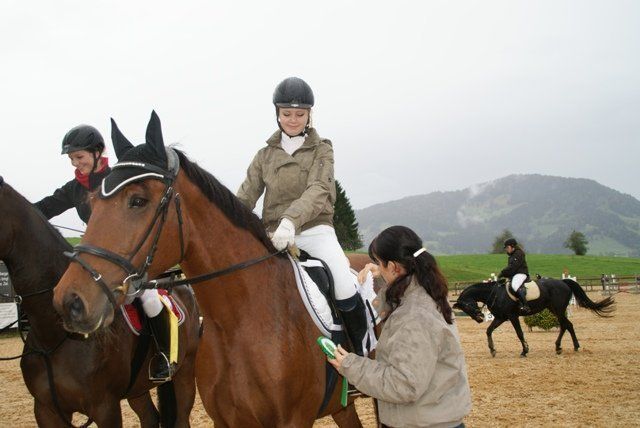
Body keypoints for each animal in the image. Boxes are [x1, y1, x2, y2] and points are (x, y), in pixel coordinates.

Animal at [0, 176, 200, 427]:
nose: (71, 303)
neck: (55, 337)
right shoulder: (46, 410)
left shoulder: (105, 407)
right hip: (137, 389)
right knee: (150, 417)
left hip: (185, 372)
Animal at [53, 112, 368, 427]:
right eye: (92, 202)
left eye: (138, 200)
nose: (70, 301)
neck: (240, 322)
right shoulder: (225, 420)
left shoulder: (294, 420)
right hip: (341, 406)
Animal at [453, 277, 615, 357]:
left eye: (468, 306)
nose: (480, 318)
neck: (495, 293)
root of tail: (563, 282)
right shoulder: (501, 317)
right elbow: (489, 331)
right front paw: (492, 350)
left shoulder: (512, 316)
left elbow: (519, 333)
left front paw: (525, 350)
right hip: (554, 309)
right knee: (566, 325)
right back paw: (561, 347)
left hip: (558, 309)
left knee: (566, 325)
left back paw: (573, 346)